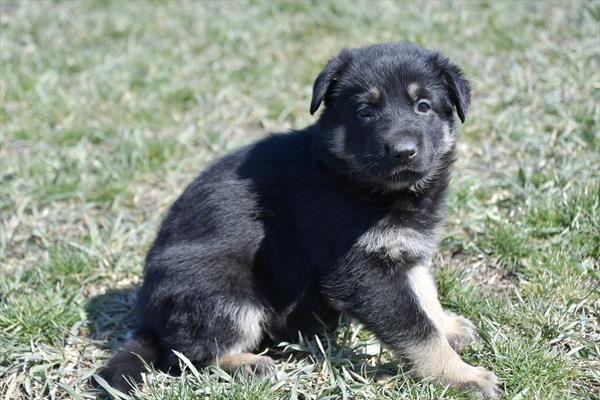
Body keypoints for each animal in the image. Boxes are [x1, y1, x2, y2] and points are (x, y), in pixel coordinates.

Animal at [102, 42, 502, 398]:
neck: (361, 183)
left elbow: (424, 296)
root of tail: (147, 320)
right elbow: (415, 328)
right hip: (222, 292)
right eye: (365, 111)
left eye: (424, 106)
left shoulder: (405, 249)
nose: (403, 152)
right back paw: (247, 363)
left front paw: (448, 327)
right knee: (185, 354)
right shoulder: (360, 271)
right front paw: (460, 376)